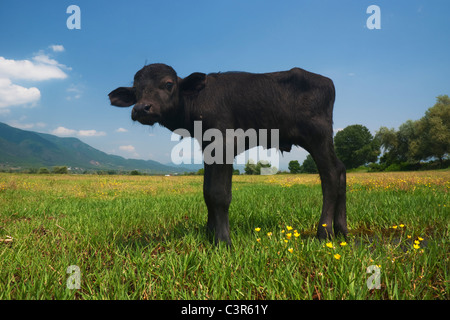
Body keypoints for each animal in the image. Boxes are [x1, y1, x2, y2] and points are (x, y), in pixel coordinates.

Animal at [109, 63, 348, 246]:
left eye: (168, 84)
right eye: (136, 90)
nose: (141, 108)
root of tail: (327, 81)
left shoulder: (224, 144)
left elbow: (219, 194)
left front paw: (222, 240)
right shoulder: (208, 148)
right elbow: (207, 192)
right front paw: (208, 232)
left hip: (317, 136)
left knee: (330, 175)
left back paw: (324, 232)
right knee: (341, 169)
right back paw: (342, 229)